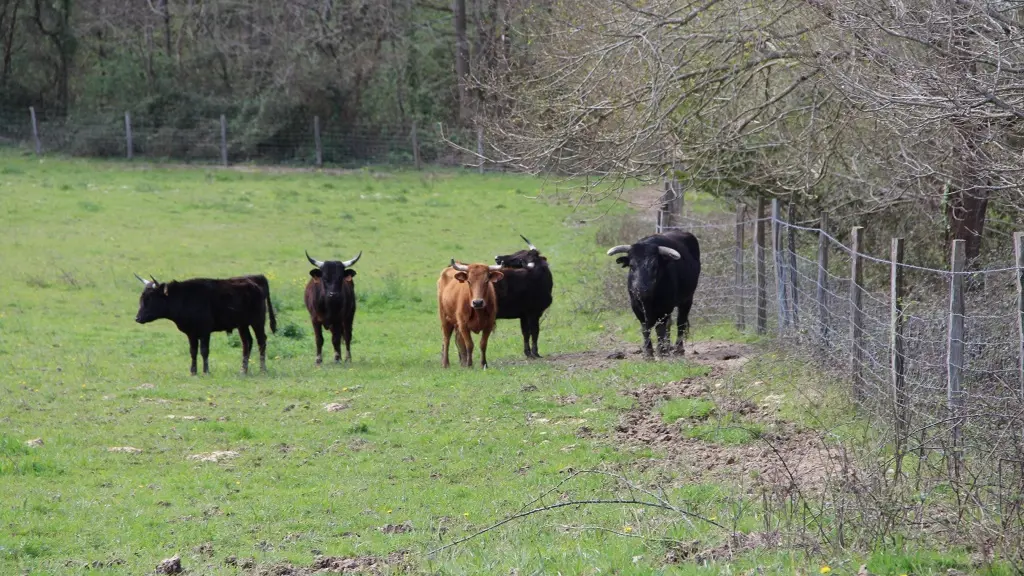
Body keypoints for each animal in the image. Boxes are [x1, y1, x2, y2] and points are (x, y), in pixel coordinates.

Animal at [136, 272, 282, 375]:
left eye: (150, 298)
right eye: (142, 298)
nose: (137, 318)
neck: (184, 298)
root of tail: (255, 278)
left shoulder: (205, 331)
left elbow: (204, 351)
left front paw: (206, 371)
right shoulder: (191, 333)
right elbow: (193, 351)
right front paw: (193, 372)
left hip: (257, 321)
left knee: (261, 341)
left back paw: (262, 370)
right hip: (242, 324)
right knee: (247, 343)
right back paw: (243, 370)